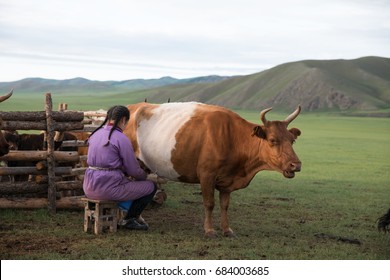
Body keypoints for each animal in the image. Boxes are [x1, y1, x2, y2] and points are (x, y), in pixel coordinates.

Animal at [124, 101, 302, 237]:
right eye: (272, 140)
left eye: (292, 140)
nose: (296, 165)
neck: (233, 137)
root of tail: (134, 106)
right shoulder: (207, 175)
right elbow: (209, 203)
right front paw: (209, 230)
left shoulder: (227, 181)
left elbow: (225, 205)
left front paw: (227, 229)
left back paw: (139, 219)